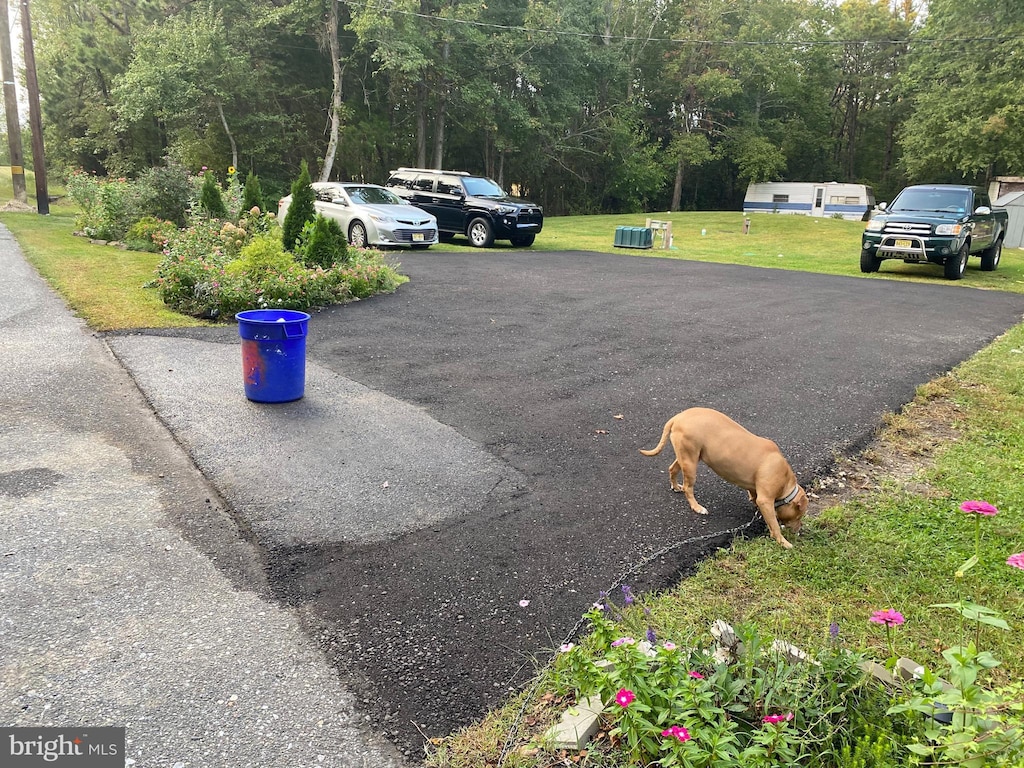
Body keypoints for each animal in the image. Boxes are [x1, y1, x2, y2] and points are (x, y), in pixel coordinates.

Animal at [638, 409, 806, 548]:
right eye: (799, 515)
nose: (800, 530)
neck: (785, 482)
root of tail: (677, 418)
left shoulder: (755, 490)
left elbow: (754, 497)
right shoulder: (765, 499)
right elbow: (774, 525)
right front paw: (783, 542)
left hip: (685, 456)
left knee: (672, 469)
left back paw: (675, 486)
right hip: (690, 461)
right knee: (688, 488)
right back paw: (697, 507)